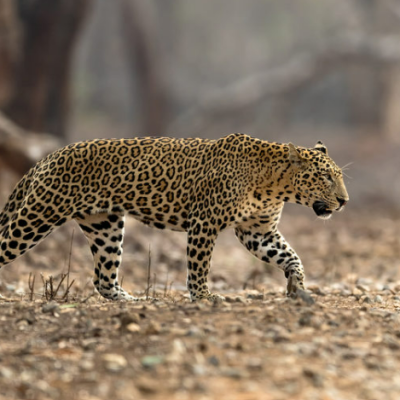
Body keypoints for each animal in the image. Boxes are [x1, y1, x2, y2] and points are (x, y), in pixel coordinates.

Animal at [0, 133, 346, 302]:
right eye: (325, 177)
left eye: (338, 176)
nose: (344, 201)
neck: (274, 185)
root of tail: (49, 156)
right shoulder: (204, 223)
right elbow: (199, 265)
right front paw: (204, 296)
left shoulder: (257, 232)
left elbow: (291, 256)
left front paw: (297, 286)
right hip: (37, 216)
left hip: (105, 225)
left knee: (103, 279)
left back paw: (134, 300)